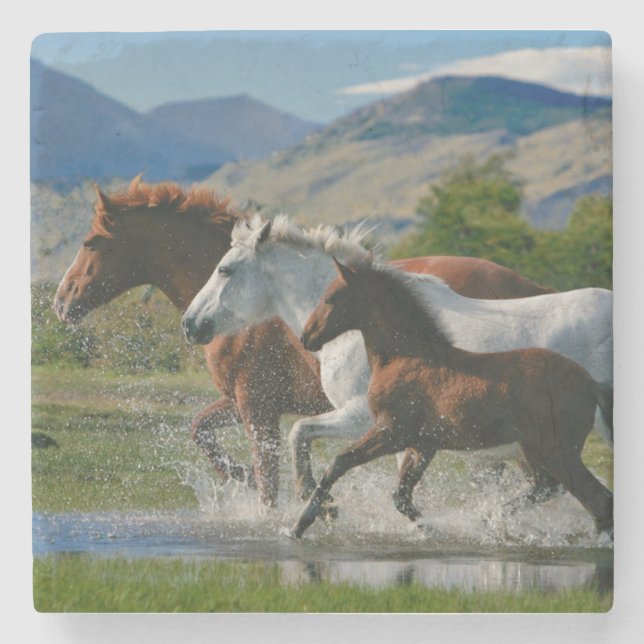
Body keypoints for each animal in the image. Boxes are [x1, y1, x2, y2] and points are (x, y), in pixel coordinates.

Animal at [54, 178, 552, 507]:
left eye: (91, 241)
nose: (61, 301)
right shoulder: (244, 402)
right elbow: (201, 430)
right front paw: (238, 475)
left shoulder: (256, 406)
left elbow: (268, 479)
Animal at [181, 215, 612, 504]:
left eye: (224, 269)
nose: (190, 323)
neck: (363, 325)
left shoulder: (362, 417)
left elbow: (299, 432)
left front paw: (316, 498)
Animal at [292, 259, 613, 539]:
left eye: (330, 298)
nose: (306, 338)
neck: (406, 355)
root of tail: (590, 384)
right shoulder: (423, 445)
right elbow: (401, 496)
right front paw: (431, 529)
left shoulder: (390, 431)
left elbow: (339, 462)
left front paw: (302, 522)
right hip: (535, 451)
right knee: (551, 488)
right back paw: (493, 519)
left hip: (555, 452)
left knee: (597, 499)